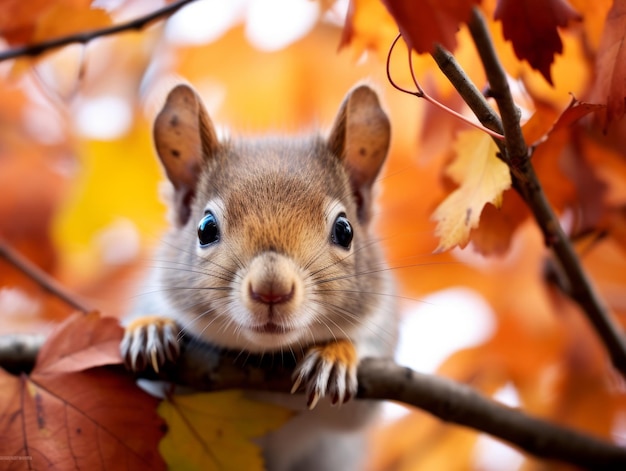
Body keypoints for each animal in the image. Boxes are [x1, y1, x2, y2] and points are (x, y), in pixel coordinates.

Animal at [119, 84, 398, 471]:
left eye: (345, 231)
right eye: (205, 228)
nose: (271, 289)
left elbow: (357, 412)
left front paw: (336, 355)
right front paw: (150, 328)